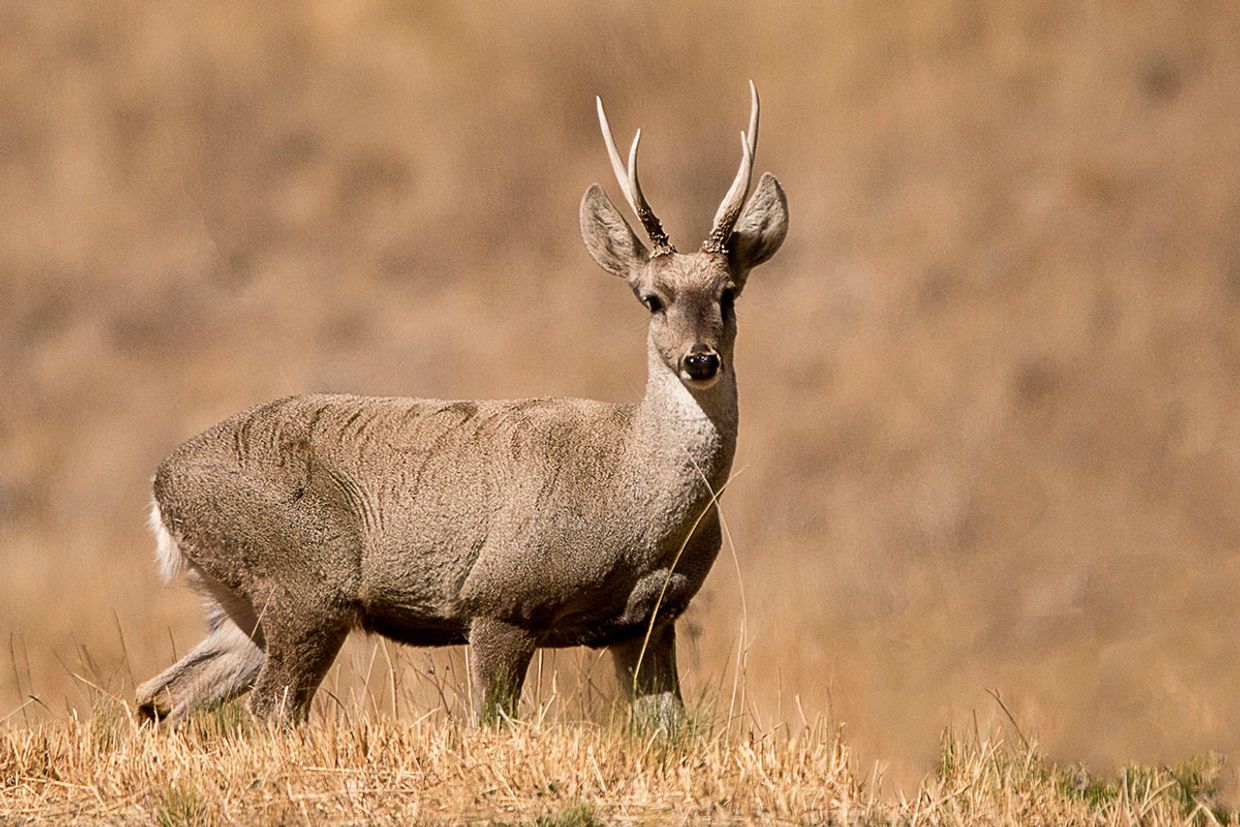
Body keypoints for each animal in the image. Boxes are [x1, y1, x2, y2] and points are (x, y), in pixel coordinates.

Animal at [135, 82, 788, 727]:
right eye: (652, 299)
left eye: (728, 293)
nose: (700, 361)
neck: (634, 498)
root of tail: (162, 486)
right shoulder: (500, 600)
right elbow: (489, 720)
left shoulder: (646, 622)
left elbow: (671, 732)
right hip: (306, 581)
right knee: (270, 709)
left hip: (241, 606)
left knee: (159, 696)